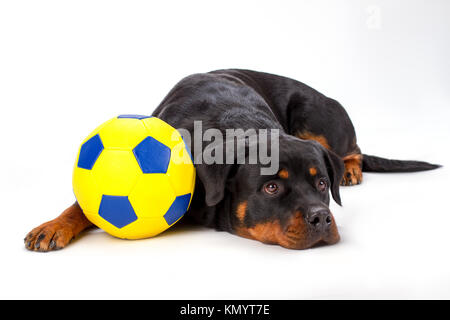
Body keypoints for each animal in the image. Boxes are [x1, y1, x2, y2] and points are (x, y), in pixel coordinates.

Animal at [22, 69, 440, 251]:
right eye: (271, 187)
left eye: (322, 183)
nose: (322, 218)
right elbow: (82, 205)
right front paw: (54, 225)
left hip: (317, 114)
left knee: (352, 149)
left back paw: (351, 169)